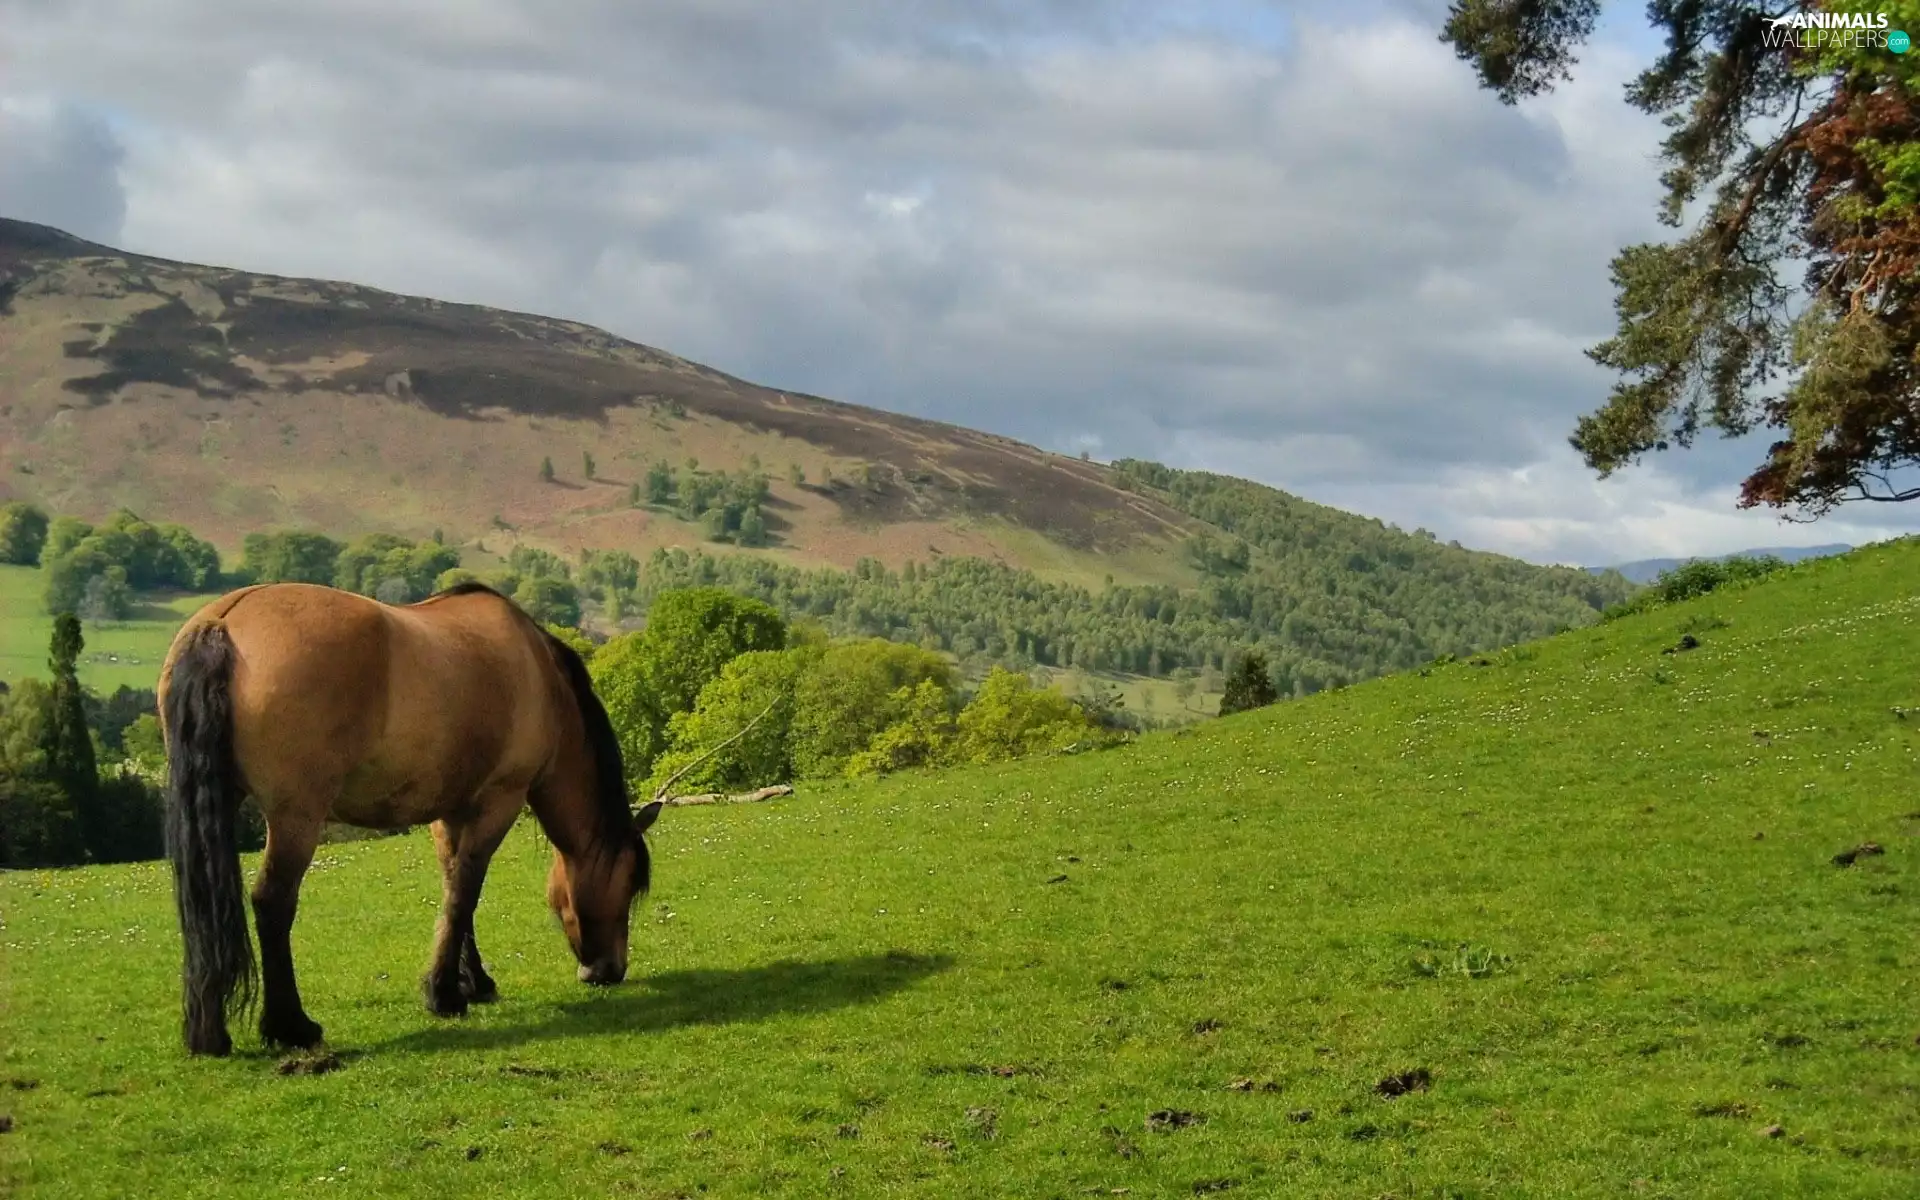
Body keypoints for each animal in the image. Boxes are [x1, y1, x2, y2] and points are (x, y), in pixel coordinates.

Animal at [157, 580, 662, 1057]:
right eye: (628, 885)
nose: (609, 970)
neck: (540, 676)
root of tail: (223, 622)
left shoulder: (452, 812)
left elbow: (456, 890)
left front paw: (471, 982)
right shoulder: (499, 802)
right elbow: (464, 893)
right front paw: (445, 995)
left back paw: (210, 1033)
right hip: (296, 817)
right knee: (272, 902)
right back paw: (292, 1026)